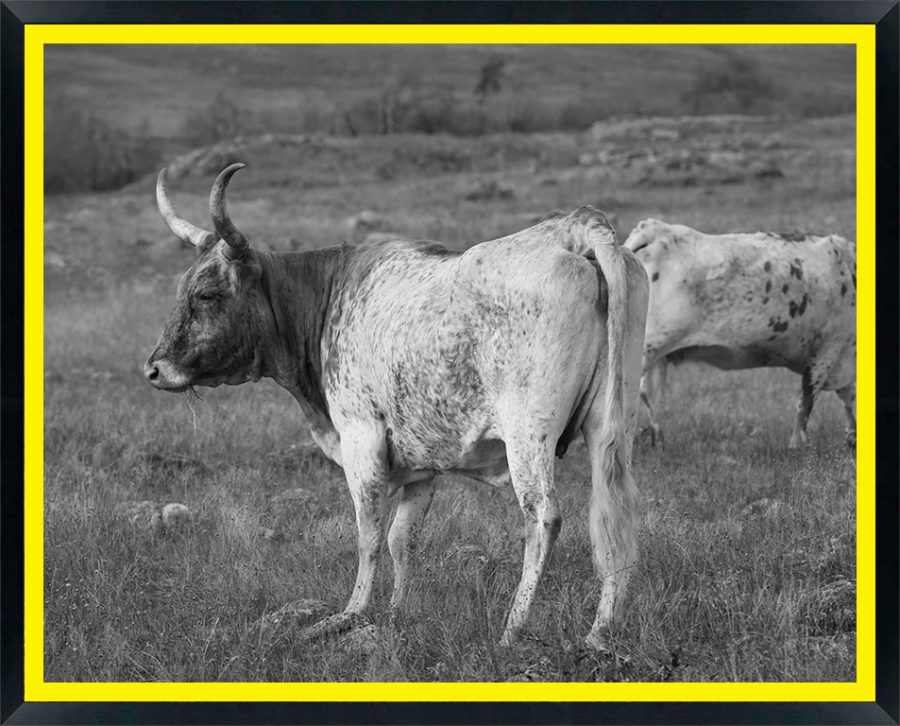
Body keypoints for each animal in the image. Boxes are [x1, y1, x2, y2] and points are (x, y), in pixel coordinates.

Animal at [145, 163, 649, 649]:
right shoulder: (421, 462)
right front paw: (396, 614)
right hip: (612, 428)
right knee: (615, 517)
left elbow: (369, 535)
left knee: (543, 517)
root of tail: (572, 228)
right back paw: (600, 633)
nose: (154, 369)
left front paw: (351, 613)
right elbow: (401, 539)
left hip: (528, 433)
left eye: (207, 293)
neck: (329, 299)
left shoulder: (361, 438)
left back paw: (513, 630)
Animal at [624, 218, 856, 449]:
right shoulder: (827, 352)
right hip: (646, 348)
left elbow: (848, 402)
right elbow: (805, 404)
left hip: (656, 356)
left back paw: (657, 438)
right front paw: (798, 446)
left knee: (647, 395)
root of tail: (654, 229)